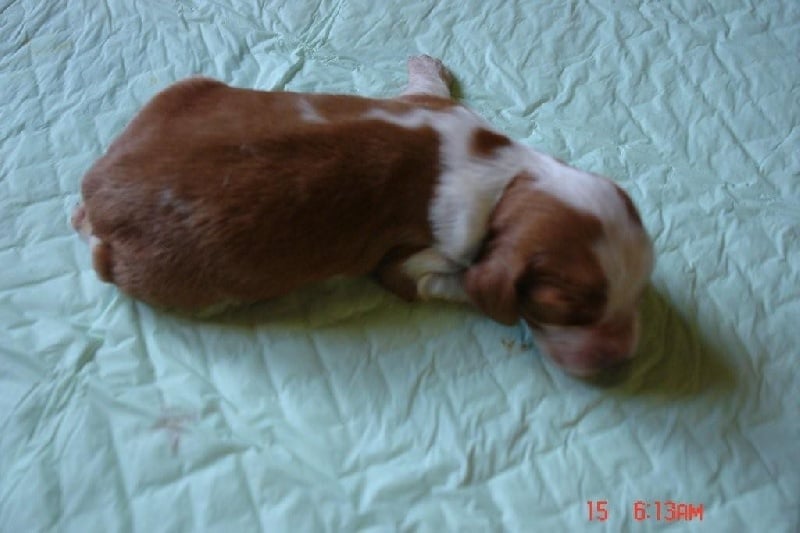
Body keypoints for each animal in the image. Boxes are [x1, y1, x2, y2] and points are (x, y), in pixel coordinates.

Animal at [72, 55, 654, 376]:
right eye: (561, 311)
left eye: (640, 291)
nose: (624, 358)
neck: (508, 176)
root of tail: (98, 192)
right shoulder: (411, 264)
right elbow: (452, 284)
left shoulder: (447, 113)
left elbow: (425, 89)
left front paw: (428, 65)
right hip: (184, 278)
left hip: (182, 90)